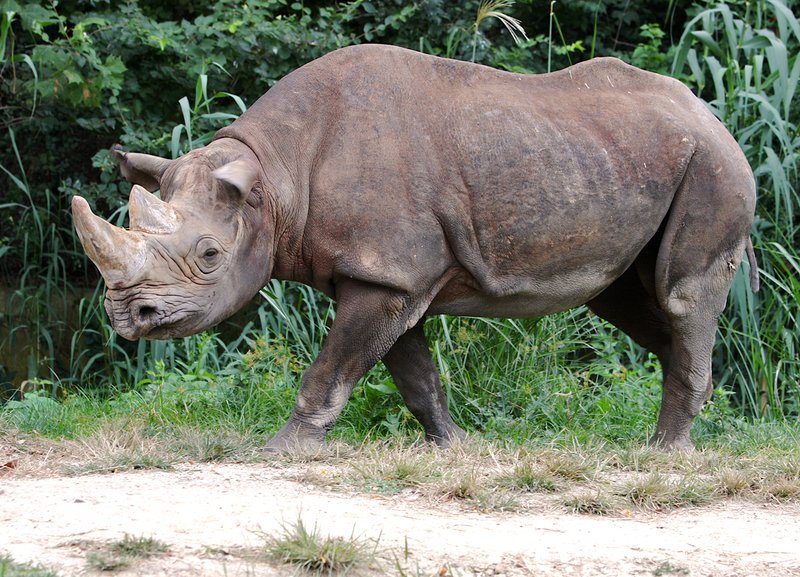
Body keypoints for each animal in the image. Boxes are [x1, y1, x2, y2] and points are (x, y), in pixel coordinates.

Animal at [72, 44, 758, 451]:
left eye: (210, 256)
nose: (129, 316)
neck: (273, 177)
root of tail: (711, 113)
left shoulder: (388, 275)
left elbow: (331, 369)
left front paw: (281, 450)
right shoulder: (388, 276)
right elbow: (412, 373)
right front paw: (454, 448)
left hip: (713, 167)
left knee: (682, 296)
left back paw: (664, 454)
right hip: (627, 161)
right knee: (629, 299)